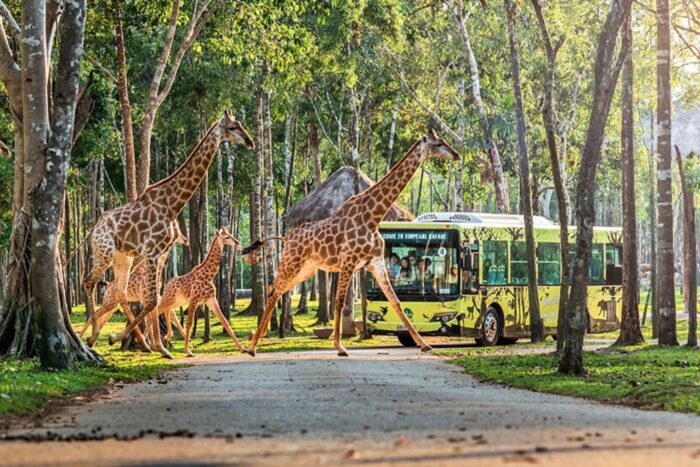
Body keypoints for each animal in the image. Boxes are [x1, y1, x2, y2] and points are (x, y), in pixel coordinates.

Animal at [77, 223, 189, 352]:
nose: (185, 240)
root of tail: (108, 285)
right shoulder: (147, 296)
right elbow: (152, 316)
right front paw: (152, 343)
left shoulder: (155, 296)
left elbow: (168, 313)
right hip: (109, 303)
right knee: (94, 315)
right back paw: (83, 339)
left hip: (113, 305)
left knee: (101, 317)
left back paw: (92, 342)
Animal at [157, 228, 245, 358]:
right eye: (227, 237)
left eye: (230, 234)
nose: (238, 243)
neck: (209, 276)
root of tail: (167, 284)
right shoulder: (194, 300)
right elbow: (189, 323)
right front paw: (188, 351)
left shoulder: (211, 300)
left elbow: (225, 321)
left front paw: (243, 348)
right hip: (169, 299)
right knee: (156, 311)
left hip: (177, 301)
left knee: (167, 311)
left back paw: (167, 336)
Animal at [246, 132, 460, 358]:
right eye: (439, 143)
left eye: (445, 141)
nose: (456, 155)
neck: (373, 217)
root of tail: (286, 239)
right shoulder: (348, 261)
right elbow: (339, 302)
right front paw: (339, 346)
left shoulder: (375, 262)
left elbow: (396, 302)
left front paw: (424, 344)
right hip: (291, 263)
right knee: (273, 292)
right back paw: (252, 347)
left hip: (306, 269)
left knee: (274, 290)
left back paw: (257, 339)